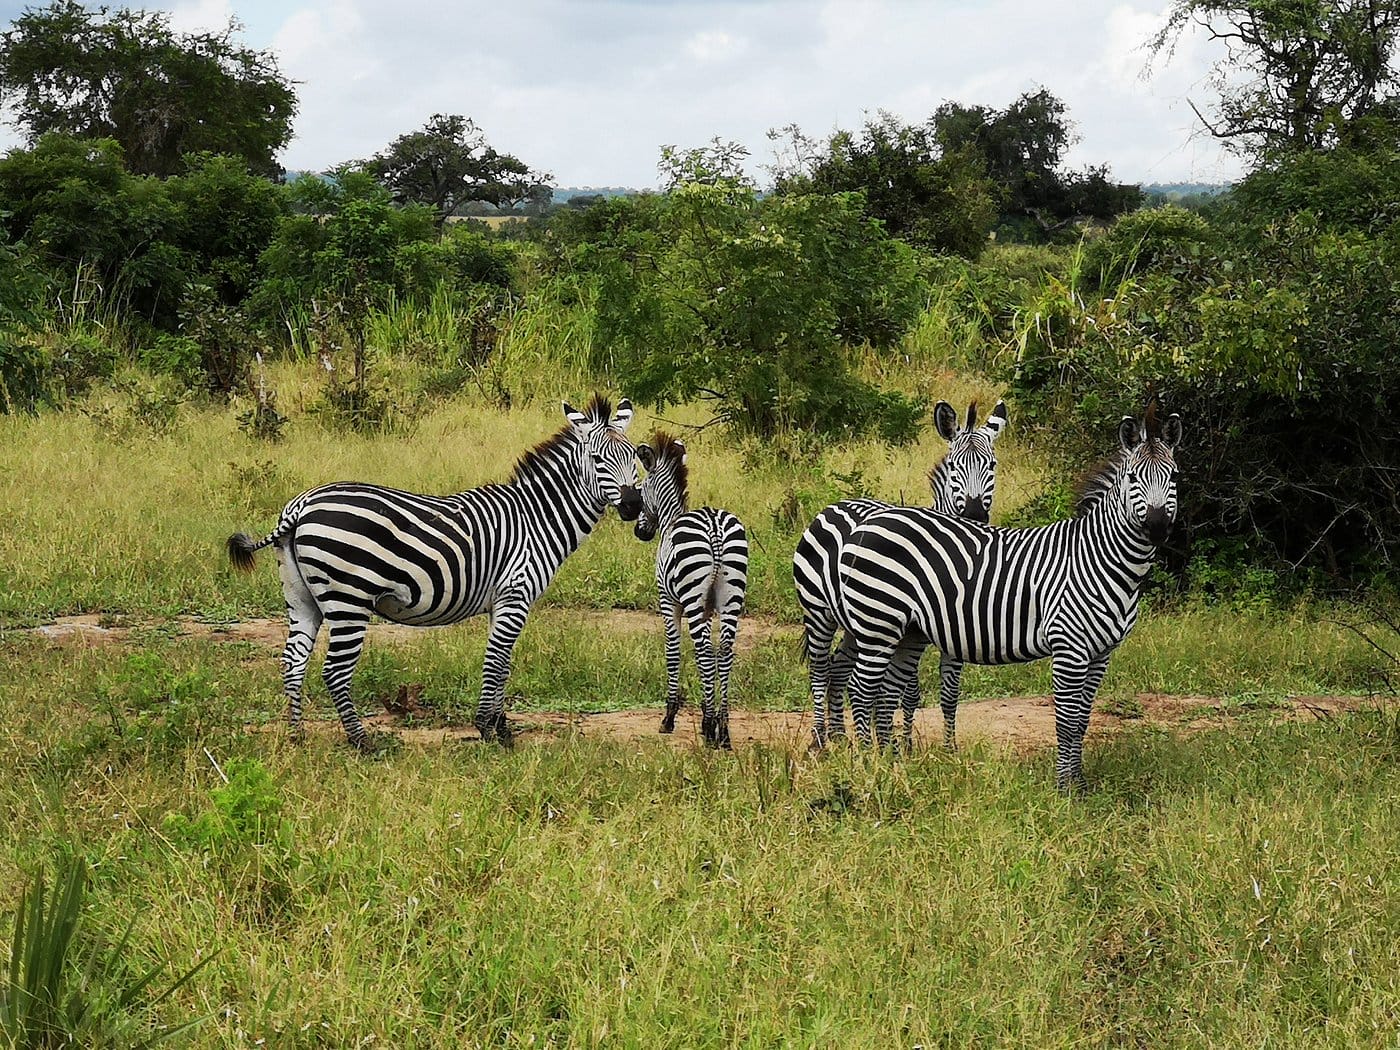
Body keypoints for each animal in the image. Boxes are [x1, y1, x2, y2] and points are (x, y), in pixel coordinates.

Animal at [226, 392, 641, 750]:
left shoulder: (502, 603)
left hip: (302, 597)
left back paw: (297, 736)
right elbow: (496, 662)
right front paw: (489, 729)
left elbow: (503, 665)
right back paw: (363, 742)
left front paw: (500, 728)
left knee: (293, 663)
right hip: (348, 599)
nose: (634, 506)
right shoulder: (515, 594)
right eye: (598, 459)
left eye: (635, 457)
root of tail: (301, 506)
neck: (537, 518)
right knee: (334, 671)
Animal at [635, 434, 750, 750]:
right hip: (731, 598)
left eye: (639, 492)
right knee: (723, 652)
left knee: (705, 651)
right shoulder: (710, 609)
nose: (640, 532)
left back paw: (711, 729)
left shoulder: (669, 602)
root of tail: (714, 527)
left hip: (693, 598)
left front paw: (670, 716)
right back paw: (723, 730)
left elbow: (673, 651)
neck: (670, 519)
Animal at [789, 397, 1008, 750]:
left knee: (838, 669)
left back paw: (839, 735)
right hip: (819, 611)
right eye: (954, 468)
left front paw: (946, 748)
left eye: (992, 466)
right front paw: (899, 743)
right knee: (820, 671)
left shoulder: (951, 631)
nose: (976, 514)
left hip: (858, 625)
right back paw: (821, 737)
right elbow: (907, 691)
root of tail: (837, 504)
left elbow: (948, 692)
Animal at [828, 403, 1181, 789]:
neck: (1100, 560)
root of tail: (866, 523)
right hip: (878, 623)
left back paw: (892, 761)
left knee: (887, 690)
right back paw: (868, 764)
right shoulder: (1069, 647)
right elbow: (1066, 721)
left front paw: (1080, 783)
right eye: (1133, 478)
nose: (1158, 528)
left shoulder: (1101, 653)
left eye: (1174, 477)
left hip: (907, 630)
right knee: (861, 689)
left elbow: (1083, 720)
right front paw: (1065, 787)